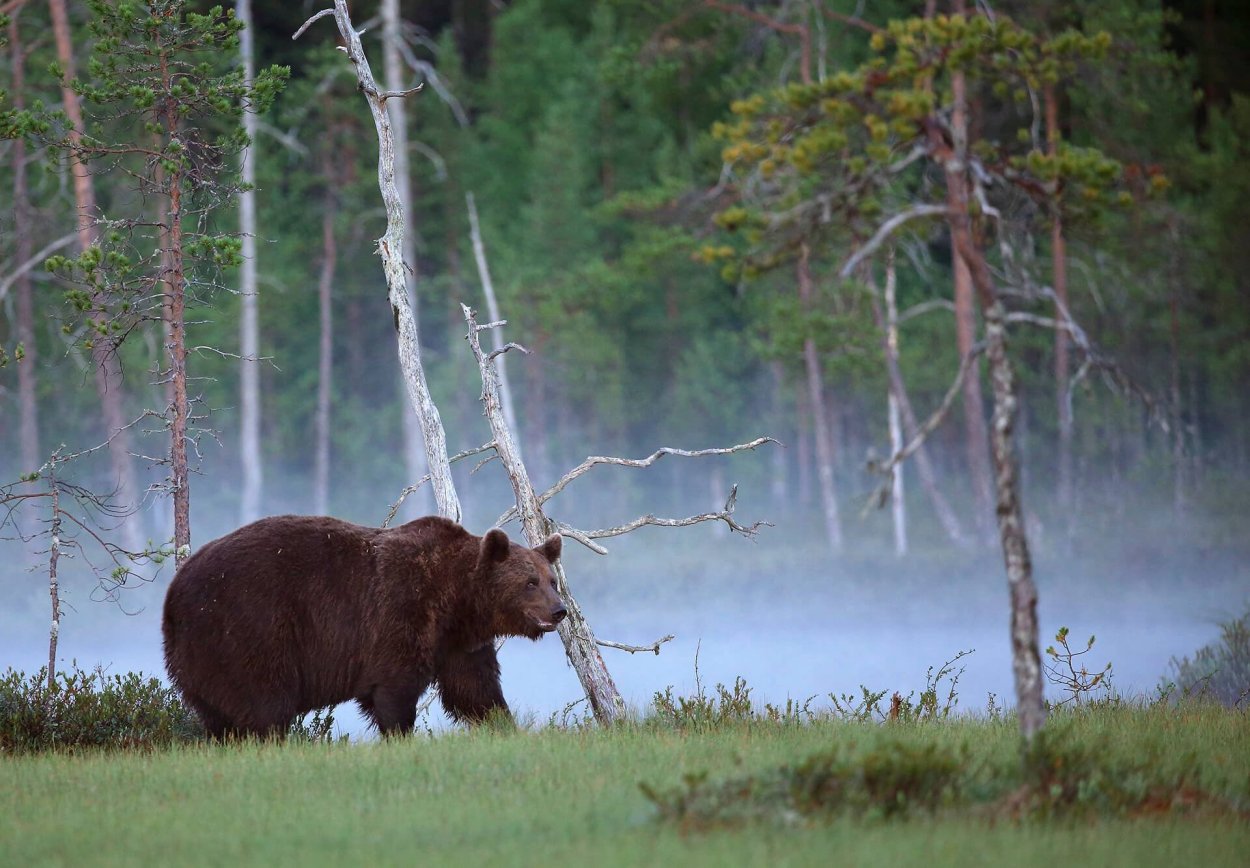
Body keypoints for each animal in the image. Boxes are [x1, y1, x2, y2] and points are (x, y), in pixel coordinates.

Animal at [158, 517, 565, 740]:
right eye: (530, 582)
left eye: (552, 580)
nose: (559, 610)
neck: (456, 600)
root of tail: (173, 594)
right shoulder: (399, 614)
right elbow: (394, 691)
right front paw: (400, 737)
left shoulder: (458, 643)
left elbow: (474, 691)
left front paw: (505, 726)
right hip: (247, 630)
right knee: (265, 704)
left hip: (201, 659)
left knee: (218, 714)